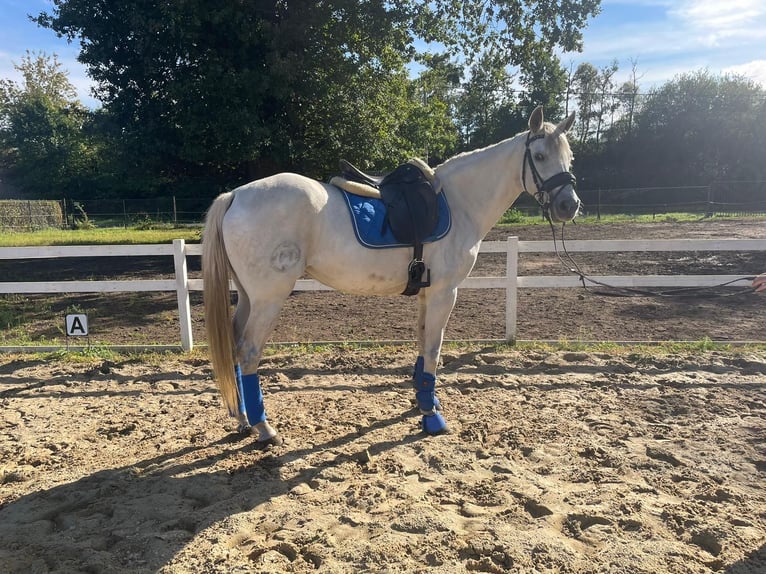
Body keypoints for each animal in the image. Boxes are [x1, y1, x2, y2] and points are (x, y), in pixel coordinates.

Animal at [202, 106, 580, 444]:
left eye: (570, 157)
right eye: (540, 156)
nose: (569, 205)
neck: (460, 203)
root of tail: (235, 195)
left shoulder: (428, 292)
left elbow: (423, 343)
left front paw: (425, 401)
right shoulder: (445, 293)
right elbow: (434, 349)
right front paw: (431, 417)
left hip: (248, 296)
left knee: (234, 345)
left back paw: (242, 419)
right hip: (269, 298)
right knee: (249, 351)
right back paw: (264, 428)